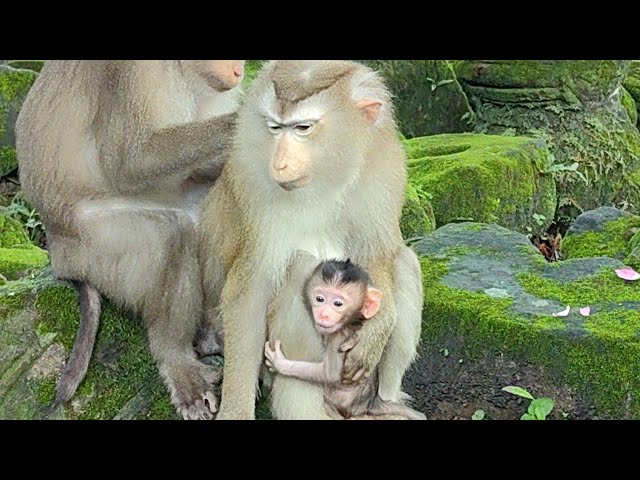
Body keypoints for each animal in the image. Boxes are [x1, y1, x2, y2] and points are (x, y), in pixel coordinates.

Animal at [15, 60, 245, 420]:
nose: (239, 70)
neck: (183, 68)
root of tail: (58, 256)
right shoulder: (132, 74)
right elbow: (129, 163)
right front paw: (249, 118)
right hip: (94, 248)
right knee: (171, 234)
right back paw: (176, 360)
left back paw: (209, 336)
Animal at [264, 259, 426, 420]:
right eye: (319, 299)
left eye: (338, 304)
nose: (324, 314)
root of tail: (371, 403)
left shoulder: (337, 337)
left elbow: (329, 373)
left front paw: (280, 363)